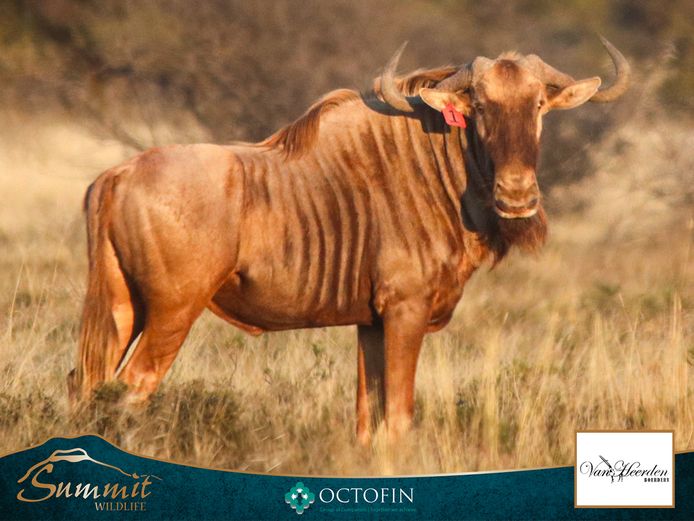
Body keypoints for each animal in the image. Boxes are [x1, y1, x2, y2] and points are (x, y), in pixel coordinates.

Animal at [68, 37, 630, 444]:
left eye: (538, 105)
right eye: (481, 107)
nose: (516, 197)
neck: (429, 169)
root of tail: (118, 174)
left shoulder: (371, 325)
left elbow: (368, 421)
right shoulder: (405, 313)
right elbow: (399, 418)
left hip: (123, 310)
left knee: (89, 386)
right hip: (171, 313)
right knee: (132, 389)